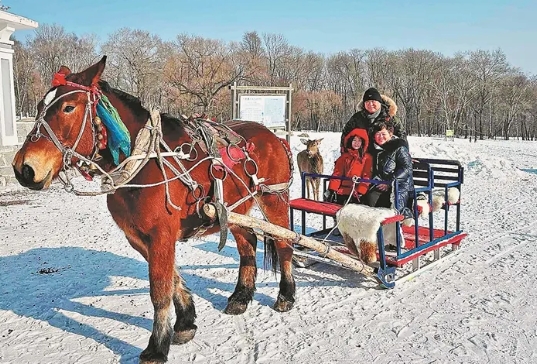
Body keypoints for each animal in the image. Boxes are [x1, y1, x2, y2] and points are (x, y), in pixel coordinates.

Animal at [10, 57, 296, 364]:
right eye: (40, 106)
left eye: (68, 107)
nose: (24, 168)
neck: (143, 161)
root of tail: (271, 134)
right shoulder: (139, 237)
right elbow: (171, 280)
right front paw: (185, 322)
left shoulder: (161, 235)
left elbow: (159, 290)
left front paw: (157, 346)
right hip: (232, 210)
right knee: (248, 243)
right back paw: (241, 296)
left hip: (274, 199)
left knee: (284, 244)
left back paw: (286, 295)